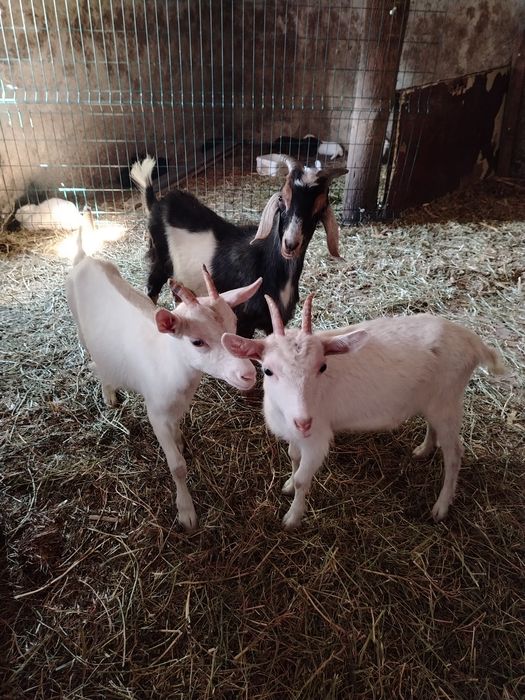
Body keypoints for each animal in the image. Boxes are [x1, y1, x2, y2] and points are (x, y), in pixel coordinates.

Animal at [66, 237, 262, 531]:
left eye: (235, 323)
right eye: (197, 341)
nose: (248, 374)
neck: (169, 360)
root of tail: (84, 258)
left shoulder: (179, 403)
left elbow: (178, 428)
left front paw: (180, 441)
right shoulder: (156, 412)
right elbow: (177, 465)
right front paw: (186, 512)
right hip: (78, 323)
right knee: (95, 358)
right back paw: (108, 392)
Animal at [130, 156, 347, 338]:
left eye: (319, 209)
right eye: (282, 199)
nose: (290, 244)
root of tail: (157, 204)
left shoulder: (274, 320)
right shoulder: (244, 320)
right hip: (160, 259)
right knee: (152, 288)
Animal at [222, 295, 505, 530]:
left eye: (322, 367)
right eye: (268, 370)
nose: (304, 421)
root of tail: (472, 340)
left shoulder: (318, 439)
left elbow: (304, 477)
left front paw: (292, 518)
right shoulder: (295, 434)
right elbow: (293, 457)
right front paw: (289, 485)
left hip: (448, 401)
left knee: (455, 455)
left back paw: (441, 507)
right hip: (433, 400)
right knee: (433, 426)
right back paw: (423, 450)